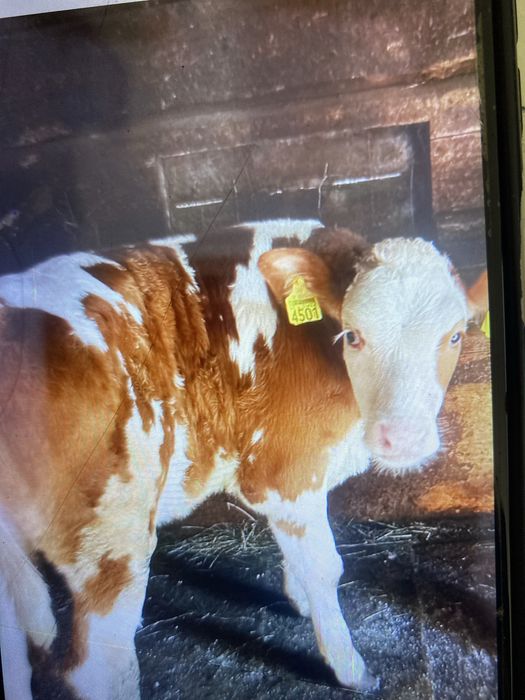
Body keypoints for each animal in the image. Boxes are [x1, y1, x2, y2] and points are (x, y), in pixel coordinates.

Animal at [0, 219, 487, 699]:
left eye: (455, 335)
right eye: (353, 336)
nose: (402, 438)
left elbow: (295, 553)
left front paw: (301, 601)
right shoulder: (288, 472)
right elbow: (325, 567)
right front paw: (349, 666)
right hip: (110, 535)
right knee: (100, 667)